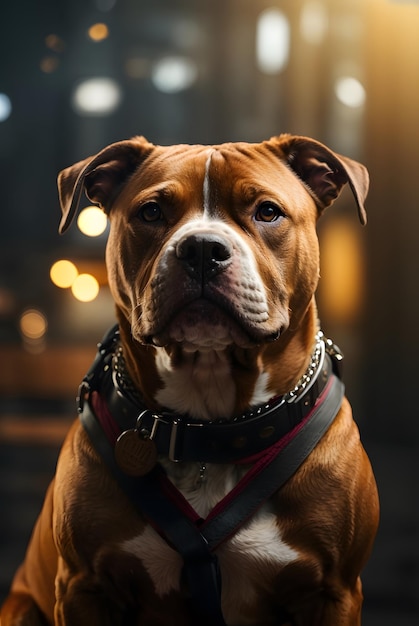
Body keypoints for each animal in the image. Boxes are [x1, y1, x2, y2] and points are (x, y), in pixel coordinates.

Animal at [0, 135, 380, 624]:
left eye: (268, 211)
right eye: (151, 212)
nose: (201, 248)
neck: (210, 426)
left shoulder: (333, 592)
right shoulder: (84, 587)